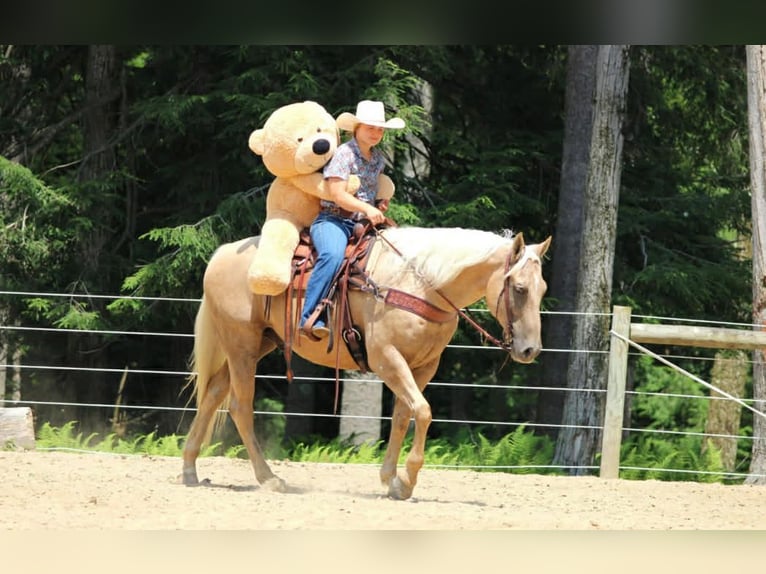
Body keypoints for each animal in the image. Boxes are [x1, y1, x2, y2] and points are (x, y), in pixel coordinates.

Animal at [182, 225, 551, 500]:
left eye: (543, 289)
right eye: (519, 288)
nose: (530, 350)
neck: (421, 282)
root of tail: (223, 253)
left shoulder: (423, 366)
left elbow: (403, 416)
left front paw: (392, 480)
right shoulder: (386, 358)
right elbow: (423, 411)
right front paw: (407, 480)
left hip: (257, 343)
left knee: (212, 394)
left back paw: (189, 469)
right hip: (241, 344)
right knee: (240, 406)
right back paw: (269, 478)